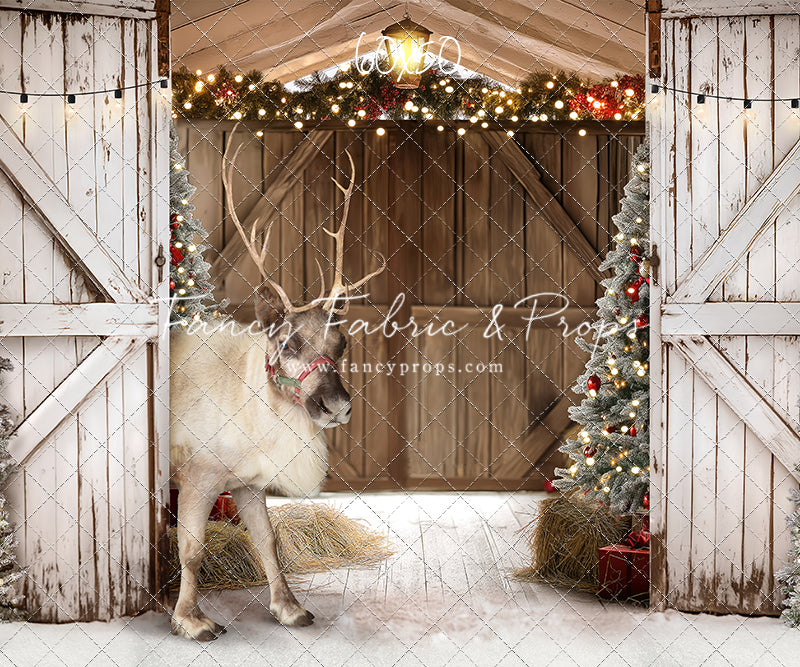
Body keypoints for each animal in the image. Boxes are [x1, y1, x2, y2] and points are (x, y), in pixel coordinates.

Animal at [168, 126, 384, 641]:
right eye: (288, 343)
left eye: (342, 343)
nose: (336, 405)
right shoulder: (198, 476)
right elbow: (192, 549)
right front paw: (191, 619)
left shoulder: (247, 482)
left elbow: (268, 542)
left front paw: (289, 607)